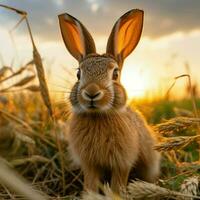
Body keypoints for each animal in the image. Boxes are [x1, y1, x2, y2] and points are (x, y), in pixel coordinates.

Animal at [58, 9, 160, 194]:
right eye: (78, 74)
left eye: (115, 74)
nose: (91, 93)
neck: (97, 116)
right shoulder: (90, 164)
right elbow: (90, 182)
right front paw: (89, 195)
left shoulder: (122, 162)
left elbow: (117, 183)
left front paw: (116, 194)